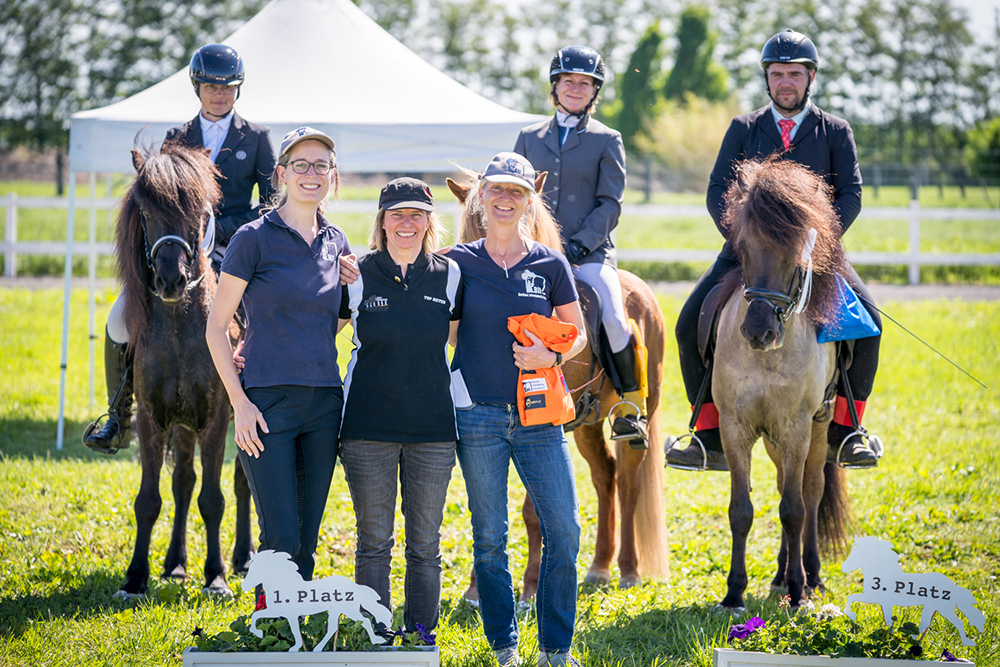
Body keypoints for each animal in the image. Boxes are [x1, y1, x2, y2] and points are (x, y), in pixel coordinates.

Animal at [116, 144, 254, 596]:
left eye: (199, 210)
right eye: (145, 211)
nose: (172, 280)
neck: (180, 328)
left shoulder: (216, 418)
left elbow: (212, 498)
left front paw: (216, 577)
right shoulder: (152, 418)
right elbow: (150, 499)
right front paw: (136, 577)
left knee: (241, 482)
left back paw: (246, 557)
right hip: (181, 423)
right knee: (182, 481)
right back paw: (175, 564)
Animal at [243, 552, 394, 652]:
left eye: (256, 569)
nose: (244, 587)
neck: (285, 584)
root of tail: (355, 586)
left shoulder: (287, 614)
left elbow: (292, 629)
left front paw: (293, 648)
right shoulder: (281, 612)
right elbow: (257, 616)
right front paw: (259, 633)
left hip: (348, 610)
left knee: (364, 621)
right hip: (338, 611)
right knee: (337, 627)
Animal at [448, 171, 668, 600]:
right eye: (468, 227)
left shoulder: (547, 430)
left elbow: (534, 511)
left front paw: (532, 587)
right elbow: (488, 508)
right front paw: (476, 590)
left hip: (635, 416)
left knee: (628, 480)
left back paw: (628, 570)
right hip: (587, 427)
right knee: (605, 475)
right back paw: (599, 567)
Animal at [712, 157, 852, 612]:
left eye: (795, 257)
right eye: (742, 248)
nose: (759, 331)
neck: (765, 357)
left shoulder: (796, 428)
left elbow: (794, 509)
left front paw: (797, 590)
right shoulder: (735, 427)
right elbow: (741, 509)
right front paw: (734, 592)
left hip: (818, 428)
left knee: (810, 491)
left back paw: (811, 575)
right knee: (782, 486)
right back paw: (778, 574)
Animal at [844, 536, 984, 648]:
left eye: (859, 553)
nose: (843, 567)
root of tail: (953, 587)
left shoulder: (874, 597)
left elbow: (851, 597)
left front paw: (852, 615)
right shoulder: (883, 603)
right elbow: (887, 621)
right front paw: (889, 637)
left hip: (944, 609)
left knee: (957, 622)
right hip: (932, 608)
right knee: (925, 624)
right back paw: (911, 641)